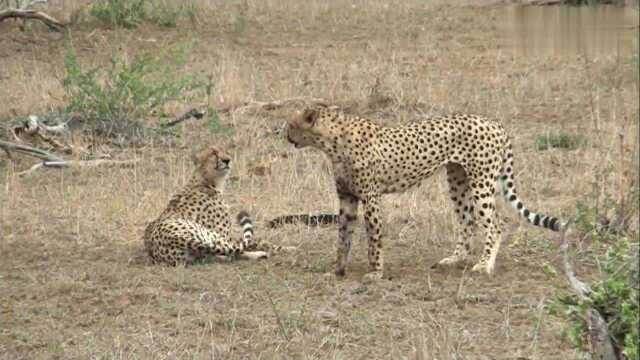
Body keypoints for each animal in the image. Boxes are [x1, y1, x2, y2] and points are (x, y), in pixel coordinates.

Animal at [284, 105, 564, 280]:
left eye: (291, 124)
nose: (284, 133)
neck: (332, 141)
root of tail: (494, 122)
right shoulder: (347, 198)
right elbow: (343, 237)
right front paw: (338, 270)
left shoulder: (371, 198)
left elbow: (374, 238)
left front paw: (375, 272)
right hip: (457, 181)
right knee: (468, 221)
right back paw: (454, 259)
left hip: (481, 181)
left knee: (495, 223)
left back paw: (484, 265)